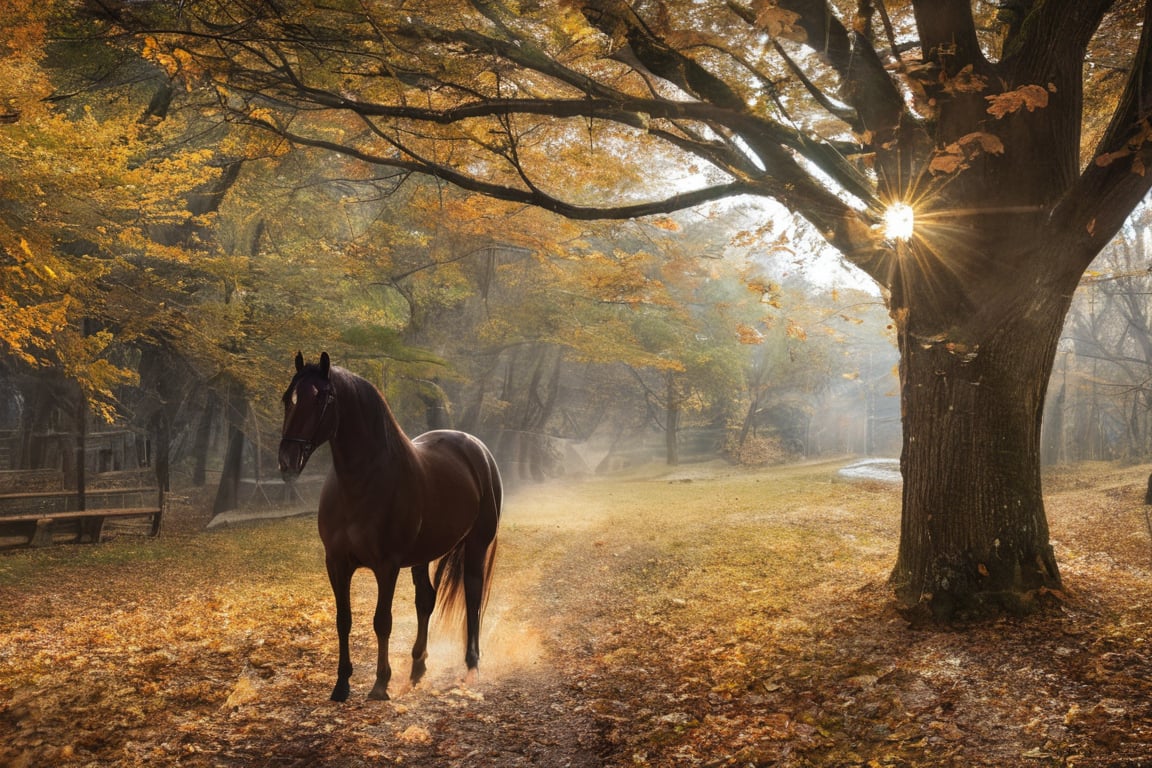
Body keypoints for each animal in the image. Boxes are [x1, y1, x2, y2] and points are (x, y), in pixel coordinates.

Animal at [277, 354, 499, 704]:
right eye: (289, 398)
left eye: (323, 398)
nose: (287, 461)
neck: (361, 483)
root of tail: (476, 447)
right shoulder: (336, 563)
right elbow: (344, 620)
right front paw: (341, 684)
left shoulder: (387, 565)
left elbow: (382, 621)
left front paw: (380, 684)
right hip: (424, 555)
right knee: (426, 600)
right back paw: (418, 667)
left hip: (477, 545)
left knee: (473, 596)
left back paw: (471, 666)